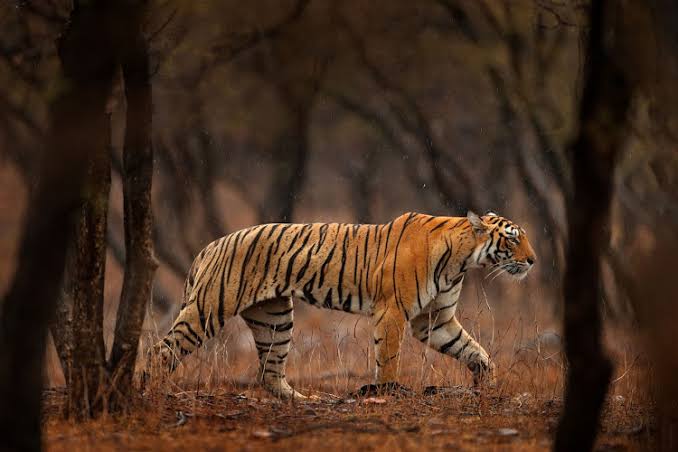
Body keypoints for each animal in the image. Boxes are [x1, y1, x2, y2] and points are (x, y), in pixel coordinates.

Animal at [151, 211, 536, 398]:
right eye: (512, 239)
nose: (533, 261)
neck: (463, 261)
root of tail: (211, 245)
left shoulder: (435, 320)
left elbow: (474, 349)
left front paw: (486, 381)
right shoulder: (392, 312)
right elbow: (389, 359)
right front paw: (389, 394)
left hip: (275, 318)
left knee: (269, 374)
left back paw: (307, 401)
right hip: (209, 308)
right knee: (162, 350)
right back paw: (152, 391)